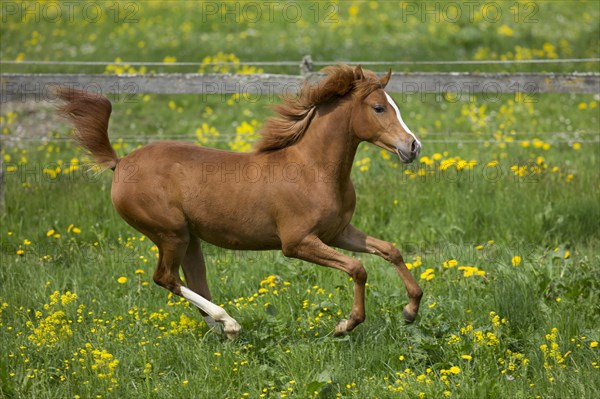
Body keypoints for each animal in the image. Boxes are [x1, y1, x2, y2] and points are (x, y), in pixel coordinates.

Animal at [55, 65, 422, 340]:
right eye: (378, 108)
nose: (412, 146)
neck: (312, 169)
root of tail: (120, 163)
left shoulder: (338, 232)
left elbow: (390, 250)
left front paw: (411, 310)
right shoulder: (298, 243)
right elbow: (358, 268)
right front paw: (345, 324)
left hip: (189, 240)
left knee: (192, 281)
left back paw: (223, 330)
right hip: (170, 234)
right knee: (165, 278)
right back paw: (229, 322)